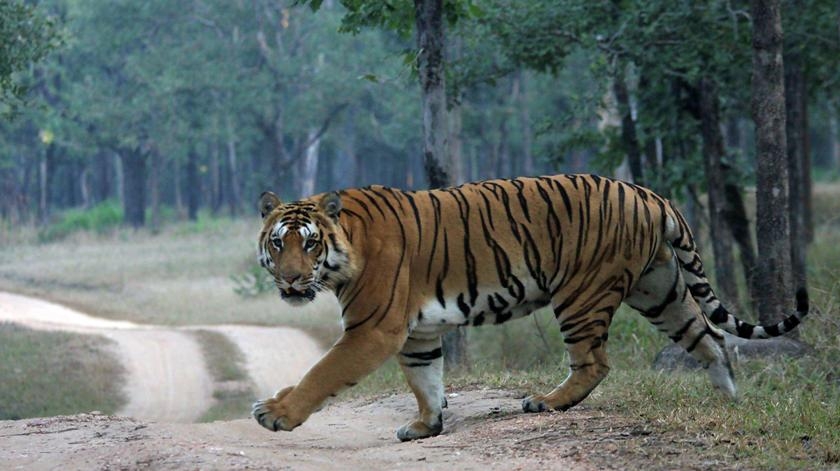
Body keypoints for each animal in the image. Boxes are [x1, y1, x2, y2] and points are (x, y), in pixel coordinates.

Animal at [251, 174, 808, 441]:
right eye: (279, 244)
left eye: (309, 244)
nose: (291, 279)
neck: (347, 249)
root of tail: (648, 193)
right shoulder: (417, 335)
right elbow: (426, 381)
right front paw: (426, 426)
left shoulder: (374, 329)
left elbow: (322, 373)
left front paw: (276, 413)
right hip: (660, 289)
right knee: (709, 337)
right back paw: (729, 401)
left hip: (582, 293)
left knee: (594, 362)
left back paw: (546, 401)